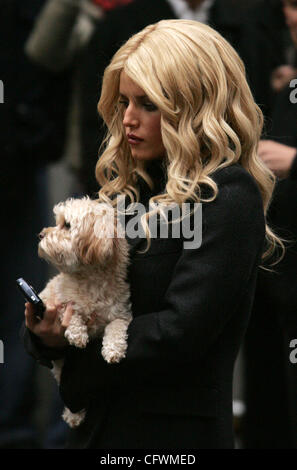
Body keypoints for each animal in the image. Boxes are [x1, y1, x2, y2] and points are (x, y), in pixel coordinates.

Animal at [36, 196, 131, 428]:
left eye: (67, 225)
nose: (40, 235)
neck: (91, 280)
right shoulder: (54, 301)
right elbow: (69, 312)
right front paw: (77, 333)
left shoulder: (122, 312)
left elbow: (116, 326)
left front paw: (113, 349)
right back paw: (74, 415)